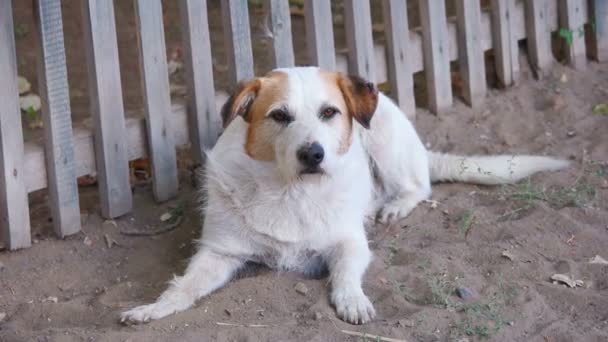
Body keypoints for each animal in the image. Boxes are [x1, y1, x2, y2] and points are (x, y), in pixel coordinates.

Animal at [120, 67, 568, 326]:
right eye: (279, 115)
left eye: (329, 112)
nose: (313, 154)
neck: (291, 191)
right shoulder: (219, 252)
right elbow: (184, 287)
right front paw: (154, 308)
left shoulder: (350, 243)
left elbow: (346, 275)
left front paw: (352, 301)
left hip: (384, 136)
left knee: (418, 185)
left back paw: (394, 205)